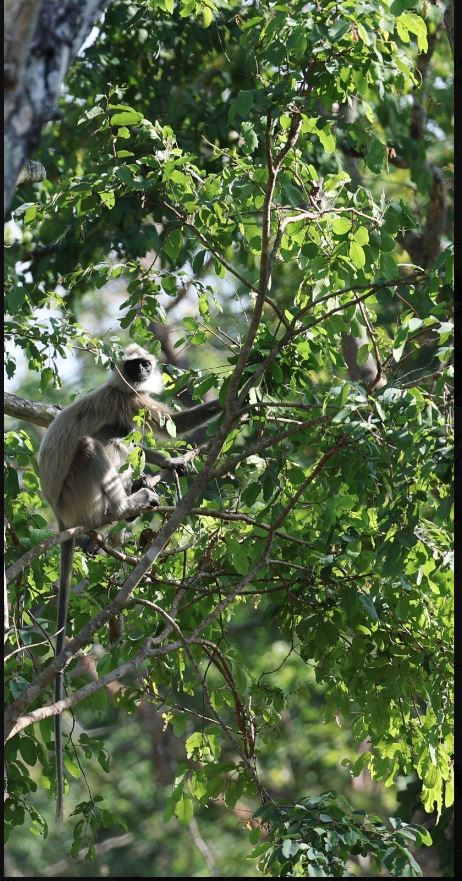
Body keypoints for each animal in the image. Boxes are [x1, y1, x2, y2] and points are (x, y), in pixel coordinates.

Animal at [38, 342, 222, 820]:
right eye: (132, 364)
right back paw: (122, 507)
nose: (140, 370)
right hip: (77, 492)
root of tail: (60, 517)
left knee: (123, 440)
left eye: (145, 363)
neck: (120, 387)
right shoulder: (127, 400)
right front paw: (253, 381)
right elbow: (164, 425)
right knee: (102, 441)